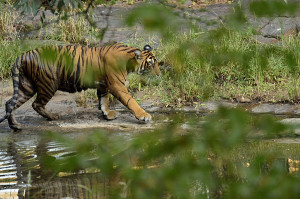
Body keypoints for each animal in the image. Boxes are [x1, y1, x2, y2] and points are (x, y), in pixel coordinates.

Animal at [0, 41, 161, 131]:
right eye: (150, 64)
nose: (159, 74)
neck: (129, 61)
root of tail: (23, 55)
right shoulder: (117, 85)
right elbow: (131, 102)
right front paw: (144, 116)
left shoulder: (103, 85)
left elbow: (104, 100)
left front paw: (107, 115)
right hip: (48, 84)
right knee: (36, 104)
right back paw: (53, 116)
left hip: (26, 86)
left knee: (9, 103)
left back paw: (15, 126)